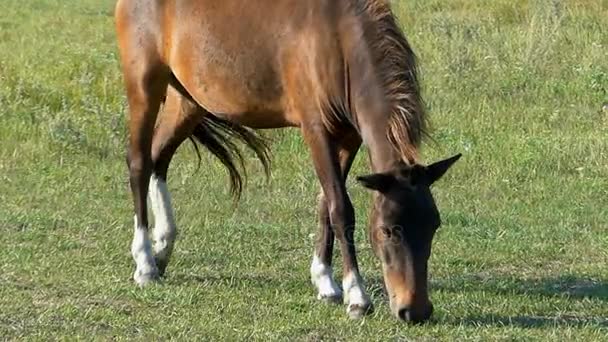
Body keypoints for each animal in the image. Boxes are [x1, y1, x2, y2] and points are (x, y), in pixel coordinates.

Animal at [114, 0, 460, 324]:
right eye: (388, 230)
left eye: (434, 225)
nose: (415, 311)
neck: (338, 38)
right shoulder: (316, 130)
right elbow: (340, 208)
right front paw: (356, 297)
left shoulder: (348, 137)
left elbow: (325, 204)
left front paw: (325, 281)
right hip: (144, 86)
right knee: (140, 163)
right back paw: (144, 261)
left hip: (188, 100)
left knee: (159, 158)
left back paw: (162, 247)